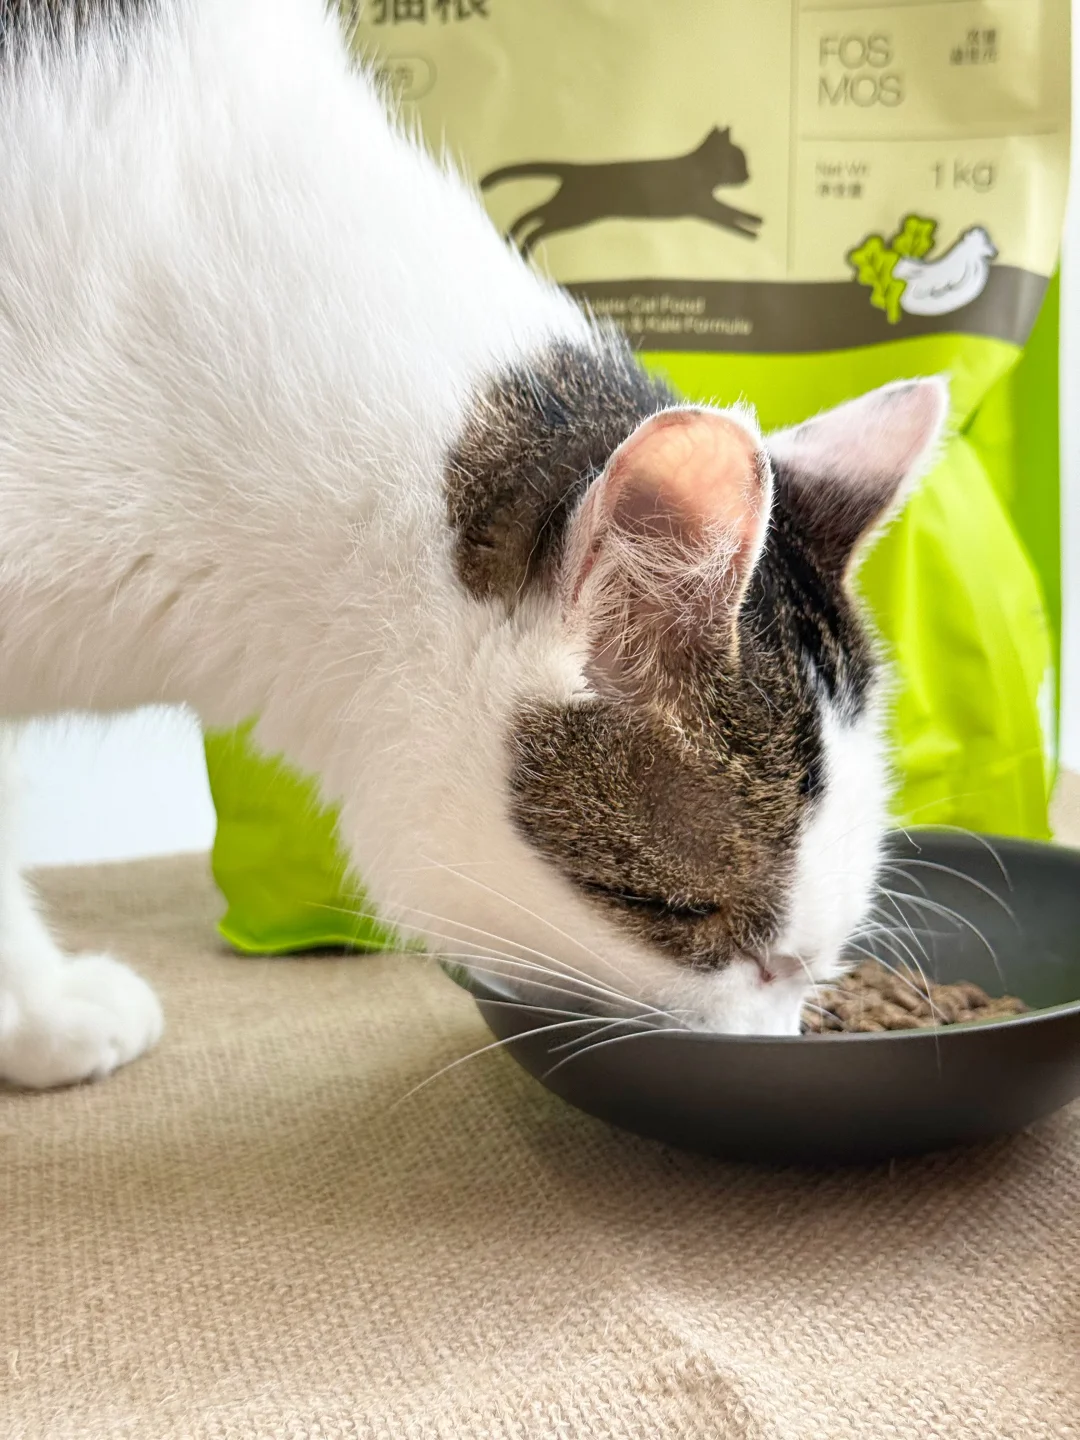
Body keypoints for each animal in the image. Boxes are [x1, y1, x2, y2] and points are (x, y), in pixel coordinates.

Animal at [481, 126, 763, 257]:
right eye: (739, 159)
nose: (749, 175)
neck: (701, 171)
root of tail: (576, 169)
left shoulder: (706, 204)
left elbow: (733, 211)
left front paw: (756, 220)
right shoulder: (702, 206)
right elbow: (730, 214)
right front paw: (753, 228)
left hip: (570, 212)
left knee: (533, 217)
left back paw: (514, 243)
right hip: (575, 214)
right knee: (534, 218)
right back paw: (517, 243)